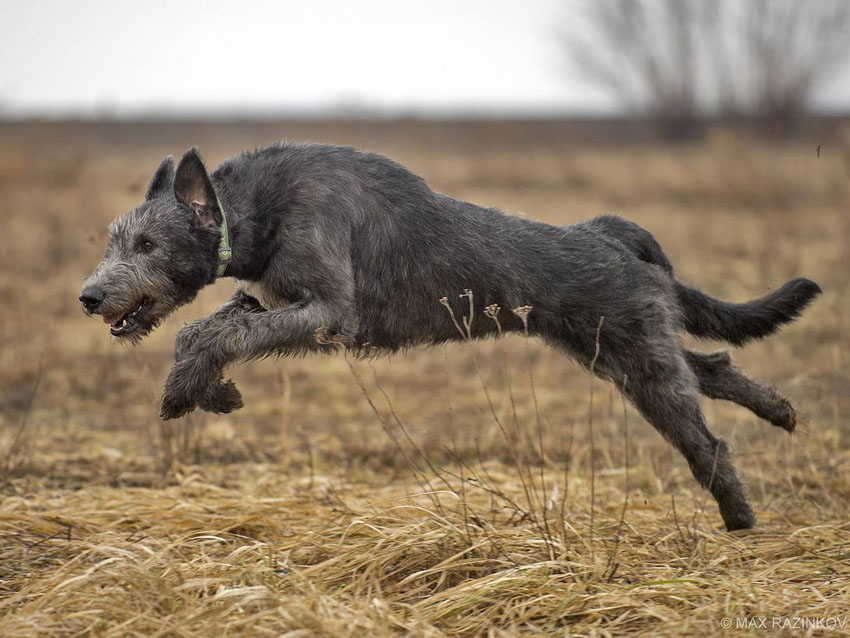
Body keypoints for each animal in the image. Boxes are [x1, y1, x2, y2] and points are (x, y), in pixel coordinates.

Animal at [83, 142, 820, 532]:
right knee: (714, 363)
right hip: (617, 350)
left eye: (148, 245)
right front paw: (213, 394)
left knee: (707, 441)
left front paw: (189, 391)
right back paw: (779, 411)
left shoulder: (328, 312)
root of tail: (608, 233)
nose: (89, 298)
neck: (253, 213)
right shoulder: (277, 303)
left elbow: (216, 333)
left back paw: (740, 519)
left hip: (639, 360)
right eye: (114, 240)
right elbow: (211, 328)